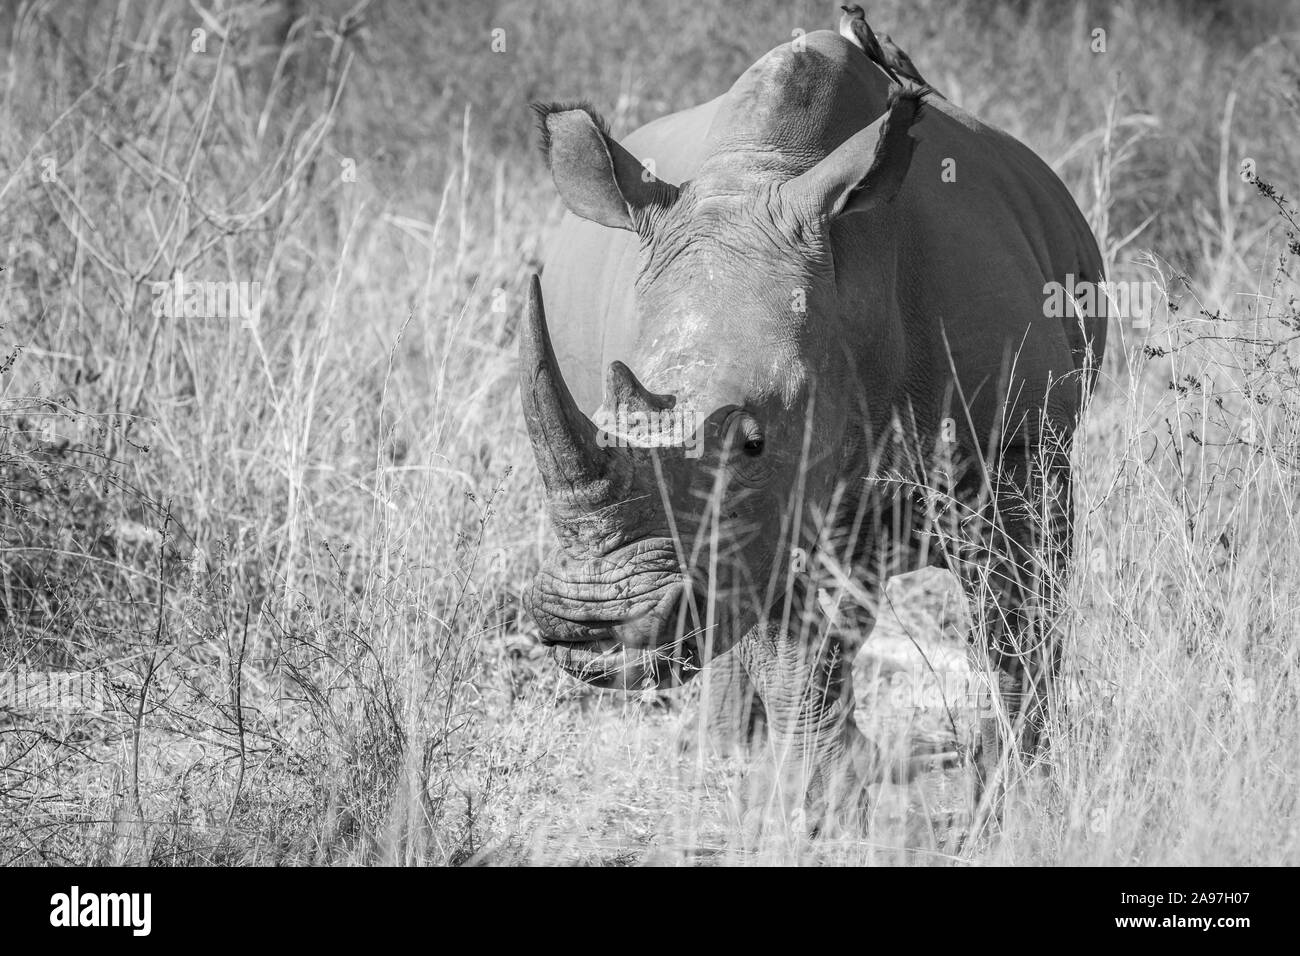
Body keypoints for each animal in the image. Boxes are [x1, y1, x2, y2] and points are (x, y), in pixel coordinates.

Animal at [519, 27, 1105, 824]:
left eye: (751, 442)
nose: (597, 635)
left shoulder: (1019, 450)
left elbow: (1019, 626)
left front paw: (1017, 795)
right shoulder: (769, 509)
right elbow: (790, 645)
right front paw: (814, 811)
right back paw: (725, 759)